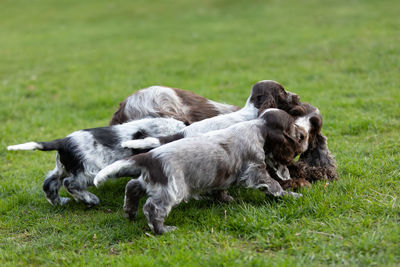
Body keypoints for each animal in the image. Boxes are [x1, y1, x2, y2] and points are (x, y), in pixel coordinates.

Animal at [7, 118, 186, 207]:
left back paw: (59, 202)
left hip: (62, 169)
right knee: (69, 184)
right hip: (89, 173)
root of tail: (63, 142)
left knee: (49, 183)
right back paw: (90, 200)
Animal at [94, 109, 312, 234]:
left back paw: (130, 212)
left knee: (132, 186)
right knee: (152, 207)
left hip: (153, 181)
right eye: (292, 125)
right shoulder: (255, 169)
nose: (303, 134)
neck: (258, 127)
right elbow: (272, 184)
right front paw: (290, 195)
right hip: (172, 187)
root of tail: (149, 157)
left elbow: (220, 189)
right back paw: (162, 229)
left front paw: (224, 199)